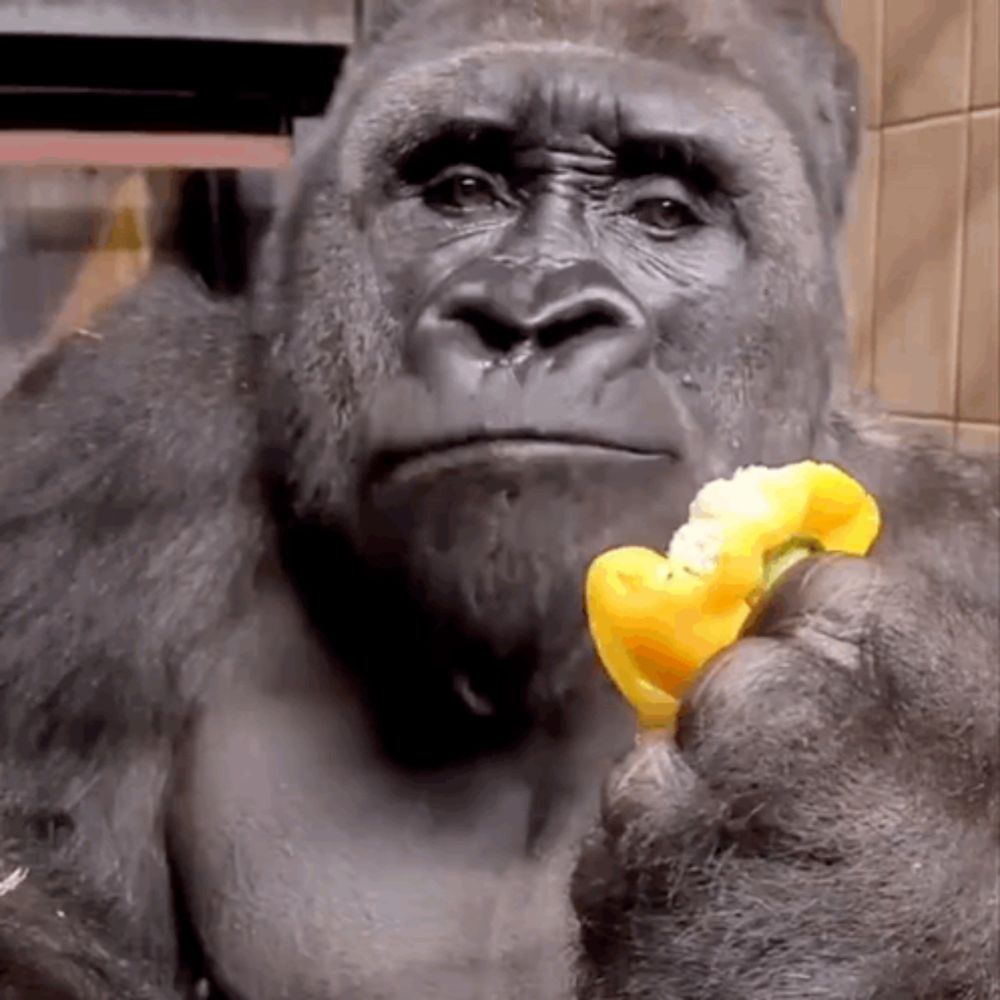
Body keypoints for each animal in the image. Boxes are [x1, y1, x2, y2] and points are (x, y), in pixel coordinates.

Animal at [1, 1, 1000, 1000]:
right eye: (463, 190)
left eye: (664, 211)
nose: (528, 317)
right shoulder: (113, 441)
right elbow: (40, 911)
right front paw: (852, 845)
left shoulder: (964, 537)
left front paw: (879, 854)